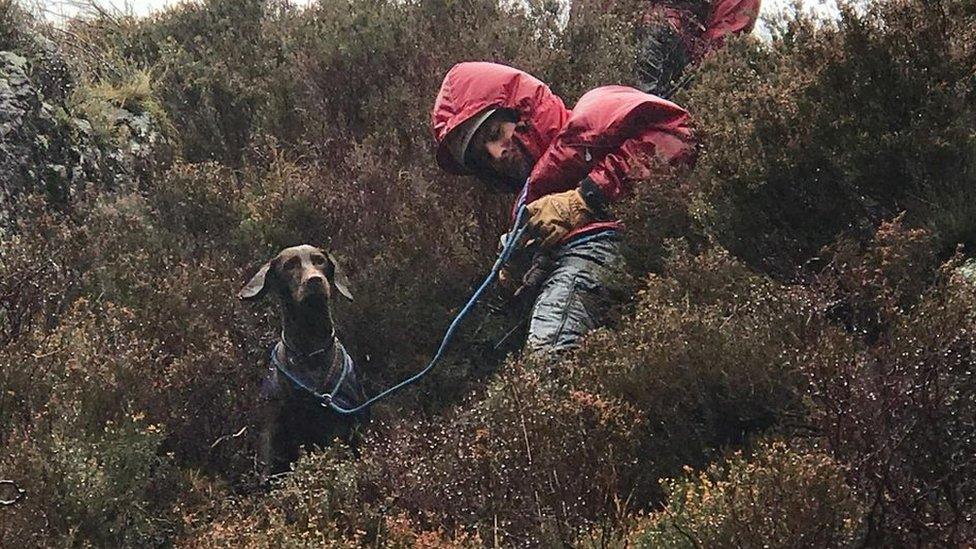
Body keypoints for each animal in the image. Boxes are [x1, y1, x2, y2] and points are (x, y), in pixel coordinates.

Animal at [240, 244, 370, 476]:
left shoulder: (342, 421)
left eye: (319, 260)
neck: (310, 351)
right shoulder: (271, 426)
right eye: (289, 265)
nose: (315, 280)